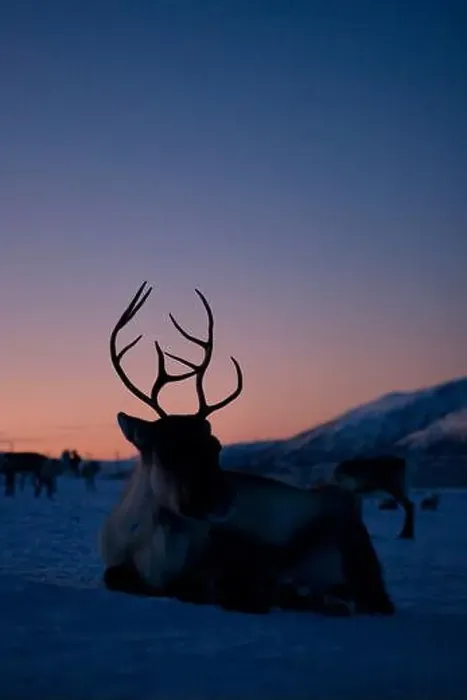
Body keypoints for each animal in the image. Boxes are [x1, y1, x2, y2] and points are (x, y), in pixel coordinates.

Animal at [99, 282, 395, 616]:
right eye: (167, 449)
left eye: (215, 446)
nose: (221, 498)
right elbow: (115, 576)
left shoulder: (234, 556)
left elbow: (207, 585)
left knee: (365, 600)